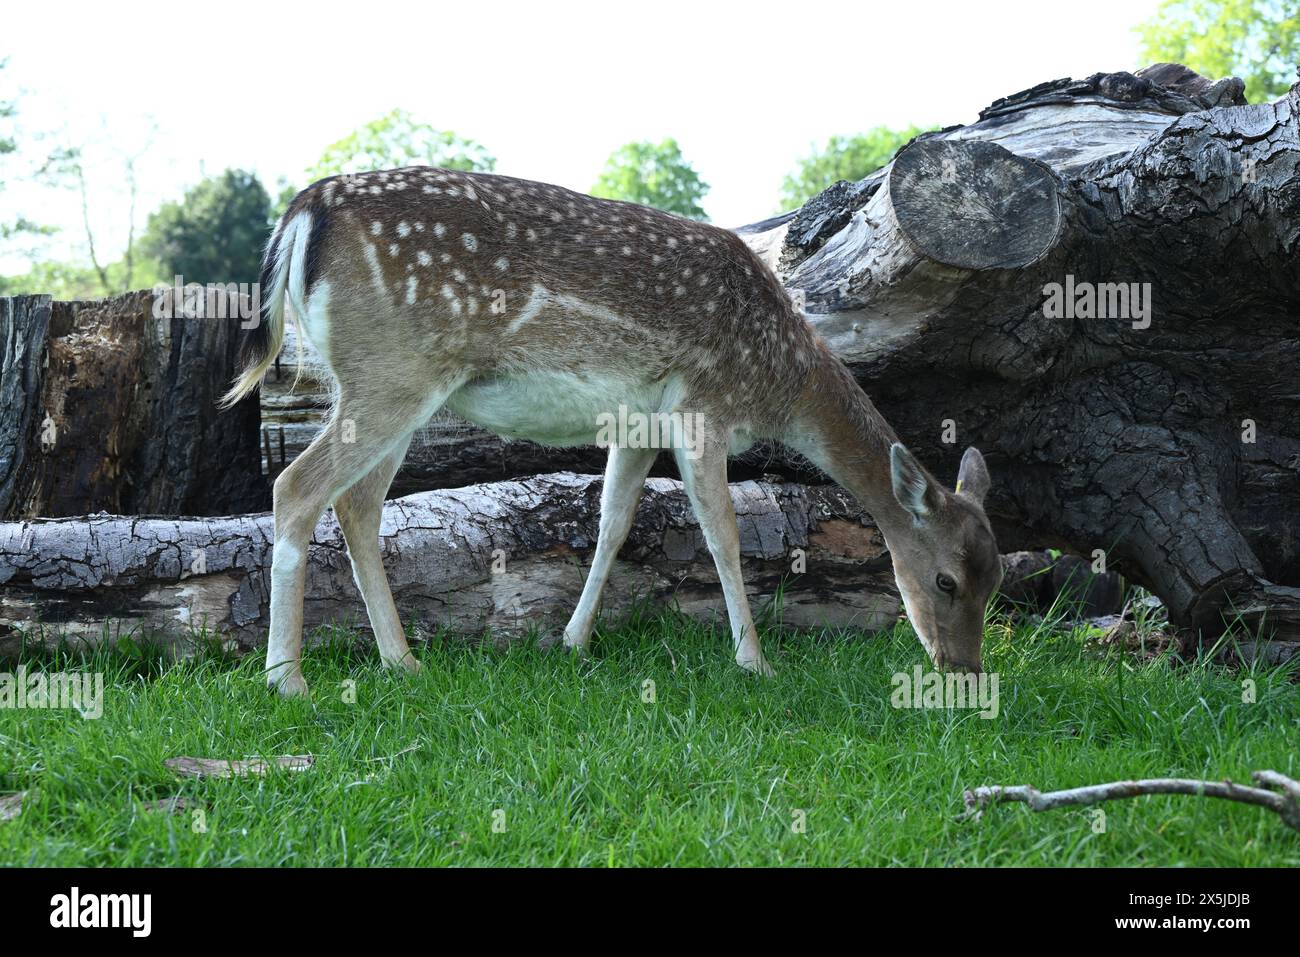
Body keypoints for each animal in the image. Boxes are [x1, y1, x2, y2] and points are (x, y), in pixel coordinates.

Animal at [221, 167, 1003, 697]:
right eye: (945, 578)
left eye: (995, 578)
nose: (965, 669)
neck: (780, 375)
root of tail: (304, 211)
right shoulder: (703, 407)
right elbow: (722, 533)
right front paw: (755, 661)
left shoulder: (639, 422)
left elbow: (614, 520)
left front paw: (573, 640)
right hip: (391, 372)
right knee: (295, 486)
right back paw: (287, 678)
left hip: (390, 385)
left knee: (357, 503)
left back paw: (402, 660)